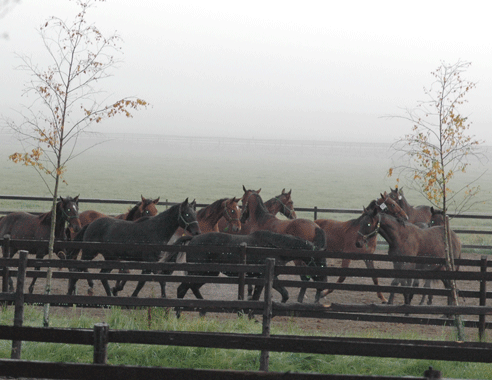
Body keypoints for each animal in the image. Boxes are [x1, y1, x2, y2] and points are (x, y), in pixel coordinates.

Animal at [67, 199, 200, 296]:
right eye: (187, 214)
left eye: (194, 214)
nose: (197, 232)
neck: (156, 230)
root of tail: (90, 225)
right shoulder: (150, 261)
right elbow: (156, 280)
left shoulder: (150, 263)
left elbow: (144, 282)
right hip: (89, 254)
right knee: (78, 272)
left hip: (110, 259)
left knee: (103, 276)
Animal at [173, 230, 320, 316]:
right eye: (320, 260)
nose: (320, 278)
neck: (275, 247)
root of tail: (193, 239)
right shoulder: (263, 277)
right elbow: (256, 298)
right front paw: (252, 316)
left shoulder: (272, 277)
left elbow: (285, 293)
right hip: (199, 272)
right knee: (183, 288)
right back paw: (179, 314)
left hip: (209, 273)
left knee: (192, 287)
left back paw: (202, 310)